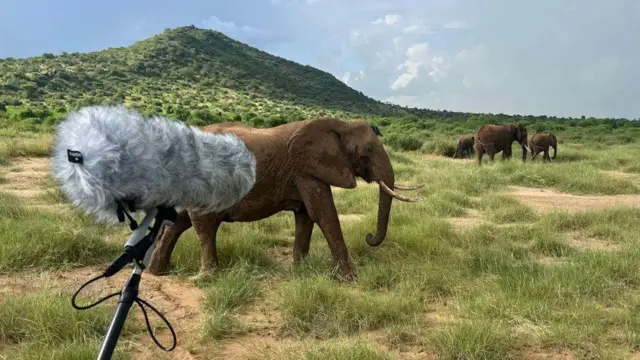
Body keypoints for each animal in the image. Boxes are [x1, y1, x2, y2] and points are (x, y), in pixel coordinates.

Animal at [147, 116, 422, 280]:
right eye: (368, 149)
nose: (369, 236)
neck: (339, 123)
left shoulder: (305, 171)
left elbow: (306, 216)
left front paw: (301, 271)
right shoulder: (306, 168)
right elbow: (324, 214)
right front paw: (349, 278)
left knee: (179, 222)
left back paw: (159, 272)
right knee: (203, 224)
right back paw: (207, 278)